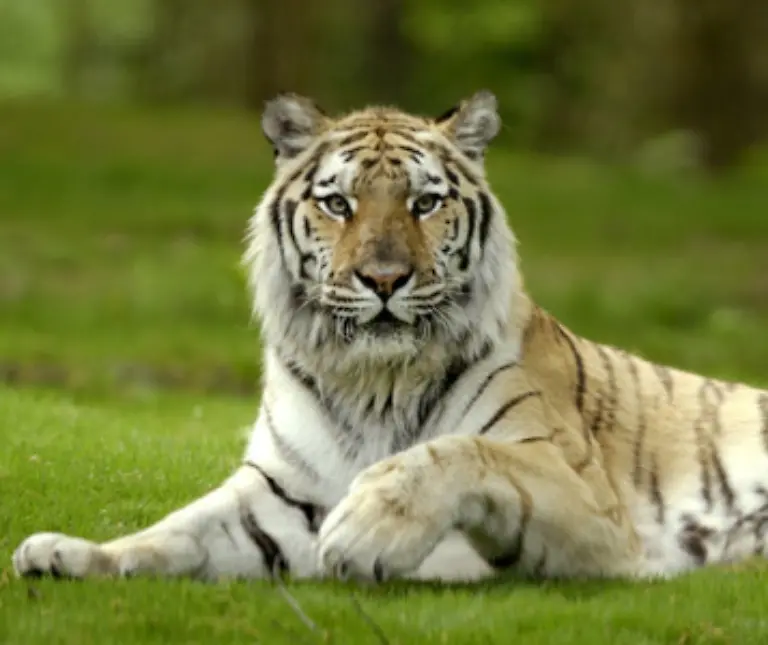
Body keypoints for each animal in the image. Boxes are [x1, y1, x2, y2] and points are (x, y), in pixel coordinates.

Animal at [13, 90, 768, 584]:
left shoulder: (592, 503)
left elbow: (459, 452)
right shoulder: (278, 492)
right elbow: (177, 531)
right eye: (337, 203)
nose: (382, 278)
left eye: (425, 203)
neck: (375, 380)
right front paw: (69, 553)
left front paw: (368, 526)